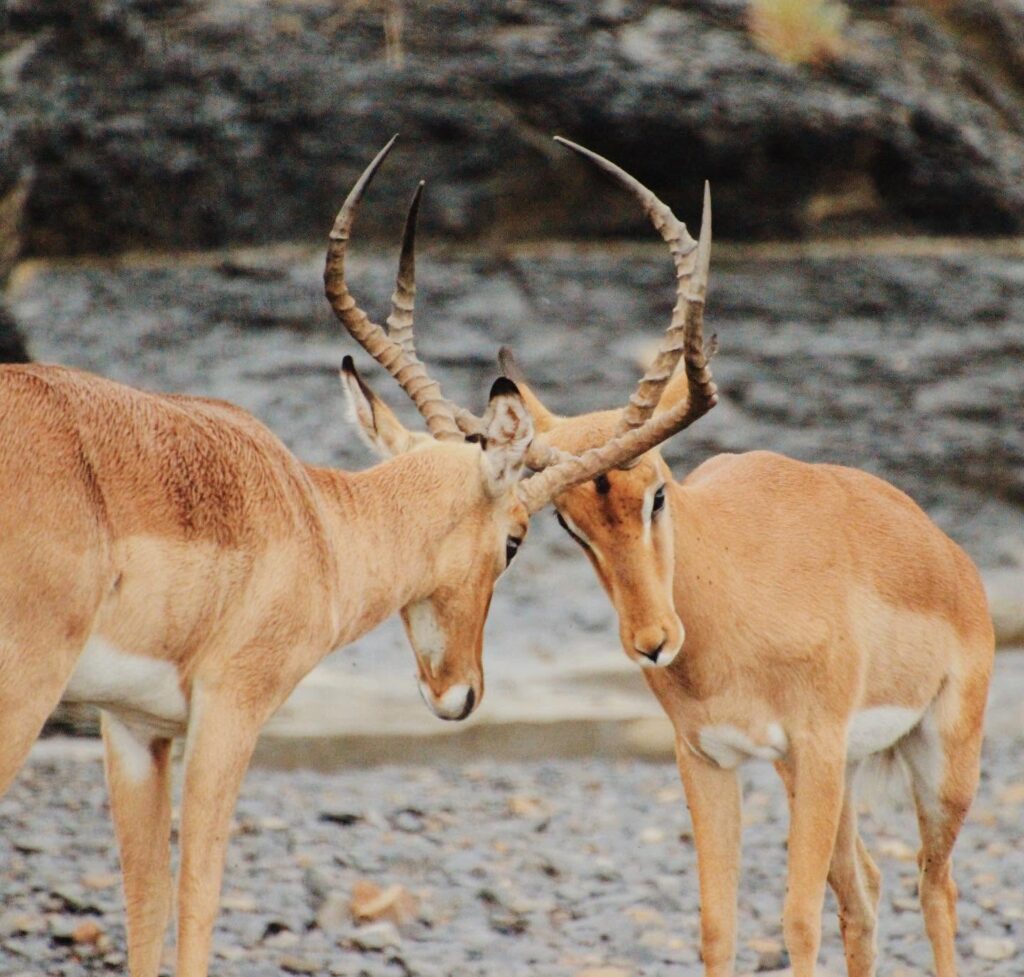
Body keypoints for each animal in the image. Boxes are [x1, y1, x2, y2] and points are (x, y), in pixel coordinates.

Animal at [0, 138, 705, 977]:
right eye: (515, 538)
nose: (460, 692)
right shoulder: (229, 714)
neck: (317, 521)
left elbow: (145, 910)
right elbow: (196, 901)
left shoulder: (133, 729)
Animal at [501, 138, 994, 977]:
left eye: (657, 490)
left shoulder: (815, 745)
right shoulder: (709, 756)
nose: (652, 642)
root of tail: (951, 560)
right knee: (864, 889)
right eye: (570, 525)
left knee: (936, 891)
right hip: (831, 773)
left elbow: (796, 917)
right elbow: (717, 922)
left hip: (936, 761)